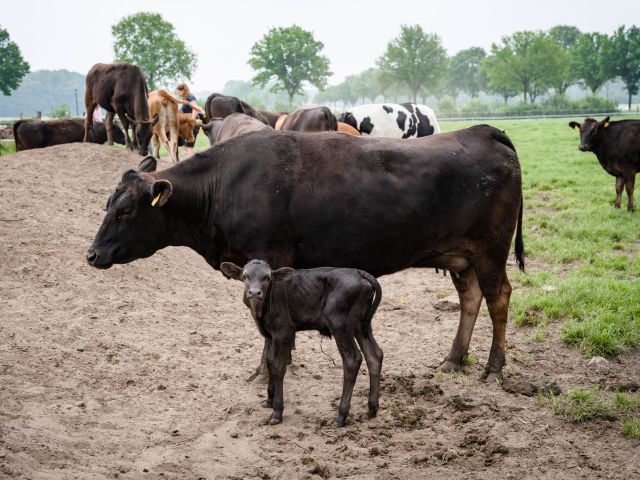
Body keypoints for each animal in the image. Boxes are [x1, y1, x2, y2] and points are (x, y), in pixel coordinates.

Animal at [86, 125, 524, 385]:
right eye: (109, 204)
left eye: (125, 210)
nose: (92, 254)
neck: (225, 182)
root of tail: (484, 132)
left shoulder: (268, 255)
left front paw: (265, 370)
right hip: (461, 256)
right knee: (471, 298)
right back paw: (453, 359)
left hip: (490, 250)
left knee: (498, 297)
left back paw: (493, 367)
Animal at [221, 259, 383, 427]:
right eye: (245, 276)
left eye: (267, 277)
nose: (254, 293)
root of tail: (359, 272)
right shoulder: (270, 335)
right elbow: (270, 362)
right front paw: (269, 400)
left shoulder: (284, 332)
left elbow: (278, 368)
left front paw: (277, 411)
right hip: (360, 324)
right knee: (374, 355)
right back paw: (372, 409)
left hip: (339, 323)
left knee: (352, 360)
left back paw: (341, 416)